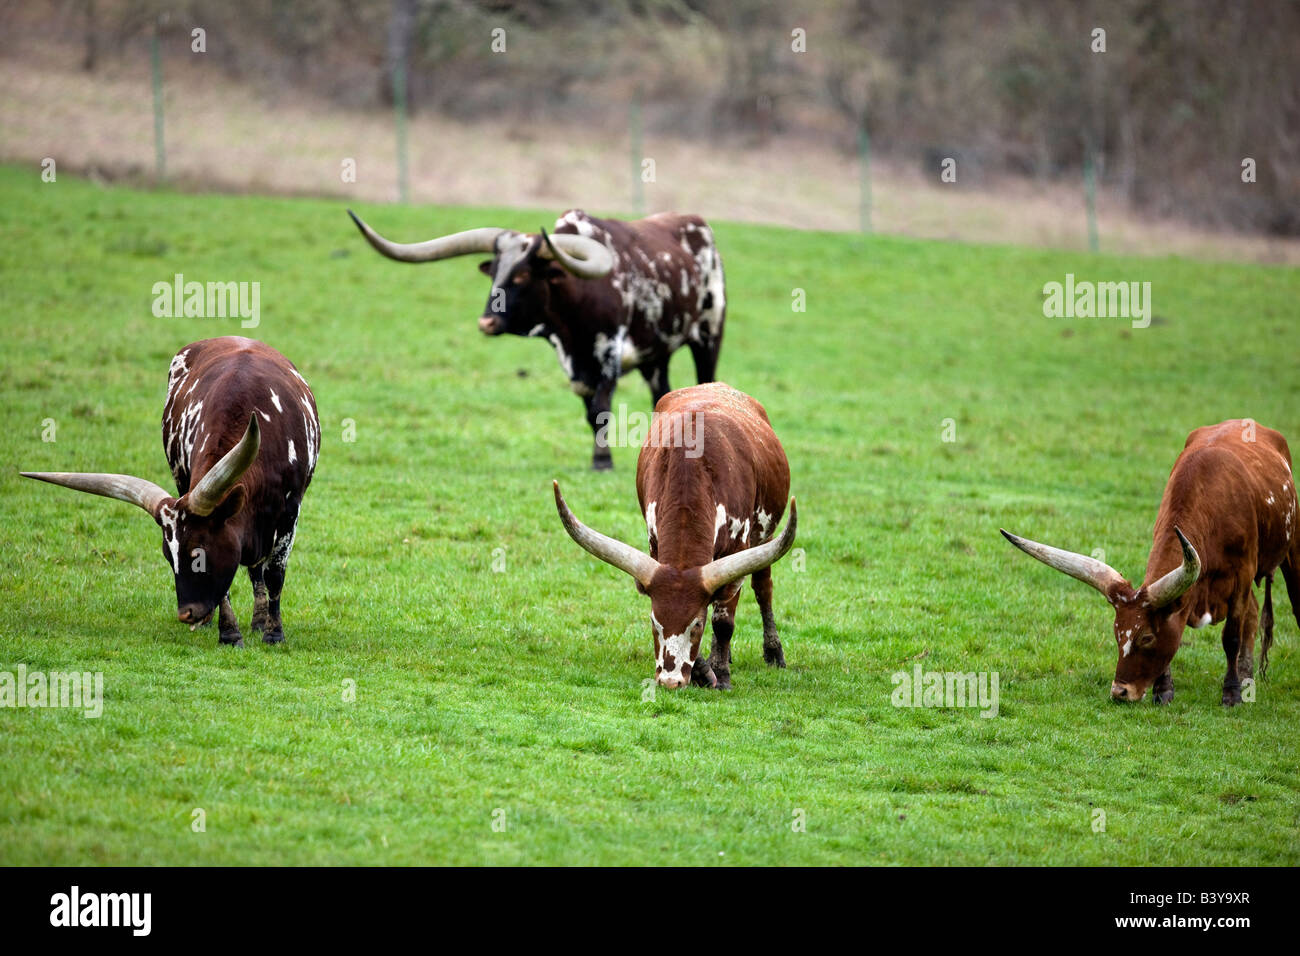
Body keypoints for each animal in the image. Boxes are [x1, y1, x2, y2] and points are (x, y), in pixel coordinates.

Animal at [20, 338, 319, 650]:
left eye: (200, 553)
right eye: (167, 556)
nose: (186, 614)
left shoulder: (289, 512)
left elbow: (274, 573)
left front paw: (274, 633)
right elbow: (227, 586)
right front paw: (229, 632)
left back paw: (259, 621)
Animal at [351, 208, 728, 468]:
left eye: (521, 277)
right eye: (494, 273)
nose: (486, 322)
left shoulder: (609, 352)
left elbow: (601, 409)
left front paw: (601, 461)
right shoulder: (575, 365)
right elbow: (590, 412)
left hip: (708, 334)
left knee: (704, 380)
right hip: (656, 354)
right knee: (661, 394)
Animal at [553, 382, 795, 686]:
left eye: (696, 625)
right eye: (654, 623)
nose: (670, 681)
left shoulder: (739, 545)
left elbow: (723, 621)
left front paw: (721, 675)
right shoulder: (655, 544)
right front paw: (705, 670)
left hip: (764, 537)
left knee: (763, 588)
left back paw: (773, 652)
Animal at [1003, 421, 1300, 707]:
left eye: (1146, 637)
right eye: (1117, 634)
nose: (1120, 692)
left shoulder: (1242, 574)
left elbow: (1231, 636)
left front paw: (1232, 694)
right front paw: (1163, 691)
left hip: (1291, 548)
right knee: (1253, 612)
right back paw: (1248, 677)